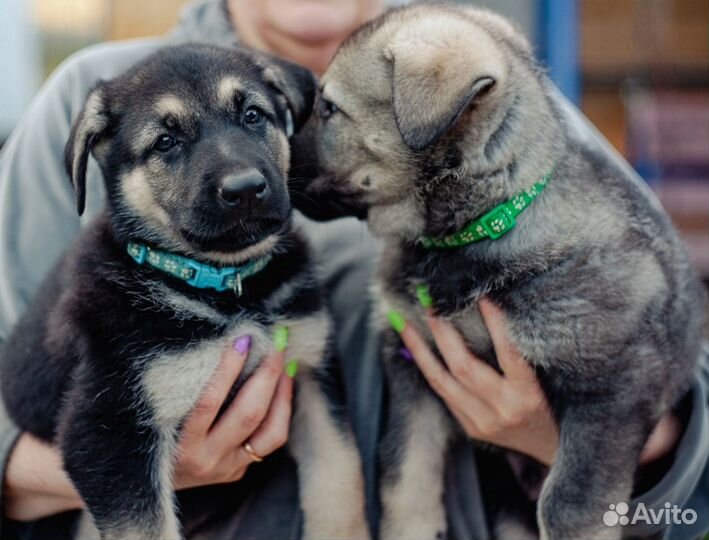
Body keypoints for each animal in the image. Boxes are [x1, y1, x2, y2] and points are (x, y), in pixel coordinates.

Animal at [0, 43, 366, 540]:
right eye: (165, 142)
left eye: (253, 115)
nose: (245, 189)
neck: (228, 289)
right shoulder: (108, 429)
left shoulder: (311, 373)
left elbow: (340, 481)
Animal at [302, 5, 704, 540]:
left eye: (329, 108)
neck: (477, 230)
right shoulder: (413, 364)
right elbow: (405, 474)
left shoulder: (613, 386)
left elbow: (570, 503)